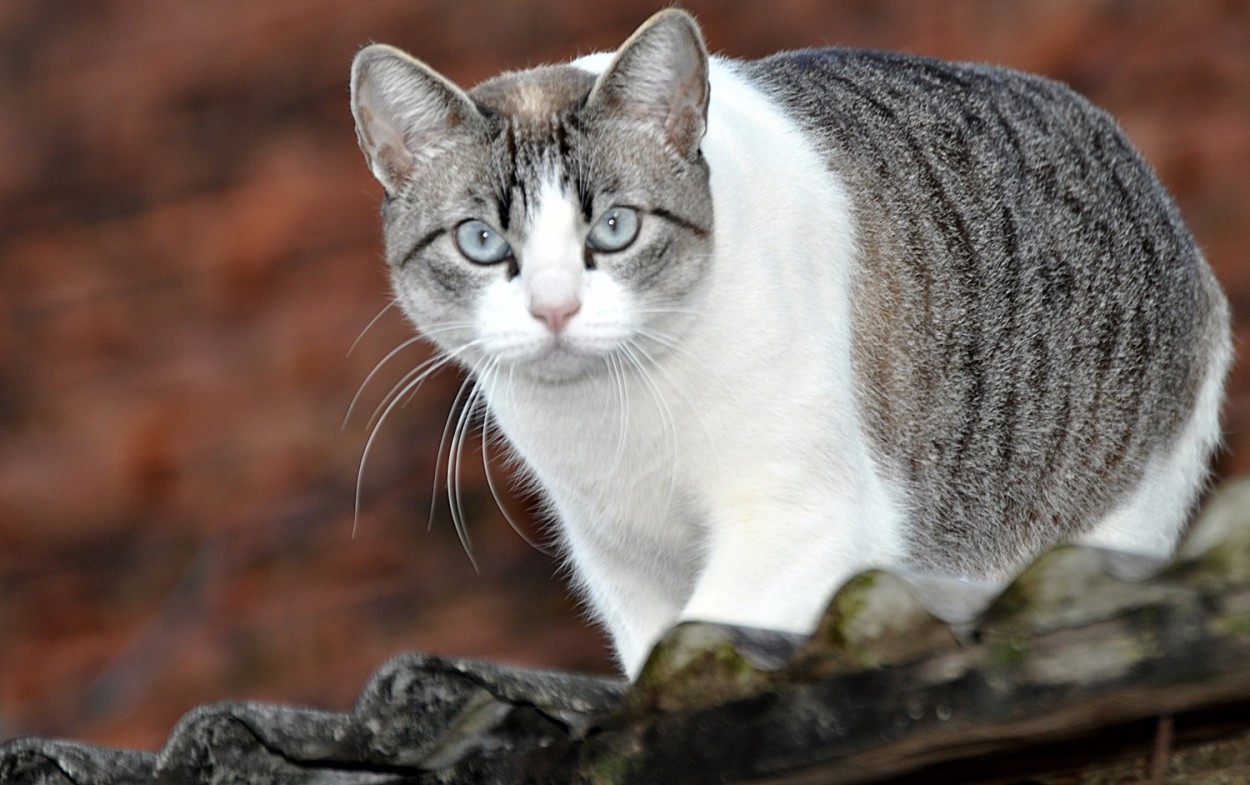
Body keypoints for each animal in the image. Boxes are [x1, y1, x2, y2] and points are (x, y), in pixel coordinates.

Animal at [350, 9, 1230, 680]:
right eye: (481, 243)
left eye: (615, 229)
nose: (555, 308)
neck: (611, 414)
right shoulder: (621, 564)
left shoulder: (801, 523)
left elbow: (700, 641)